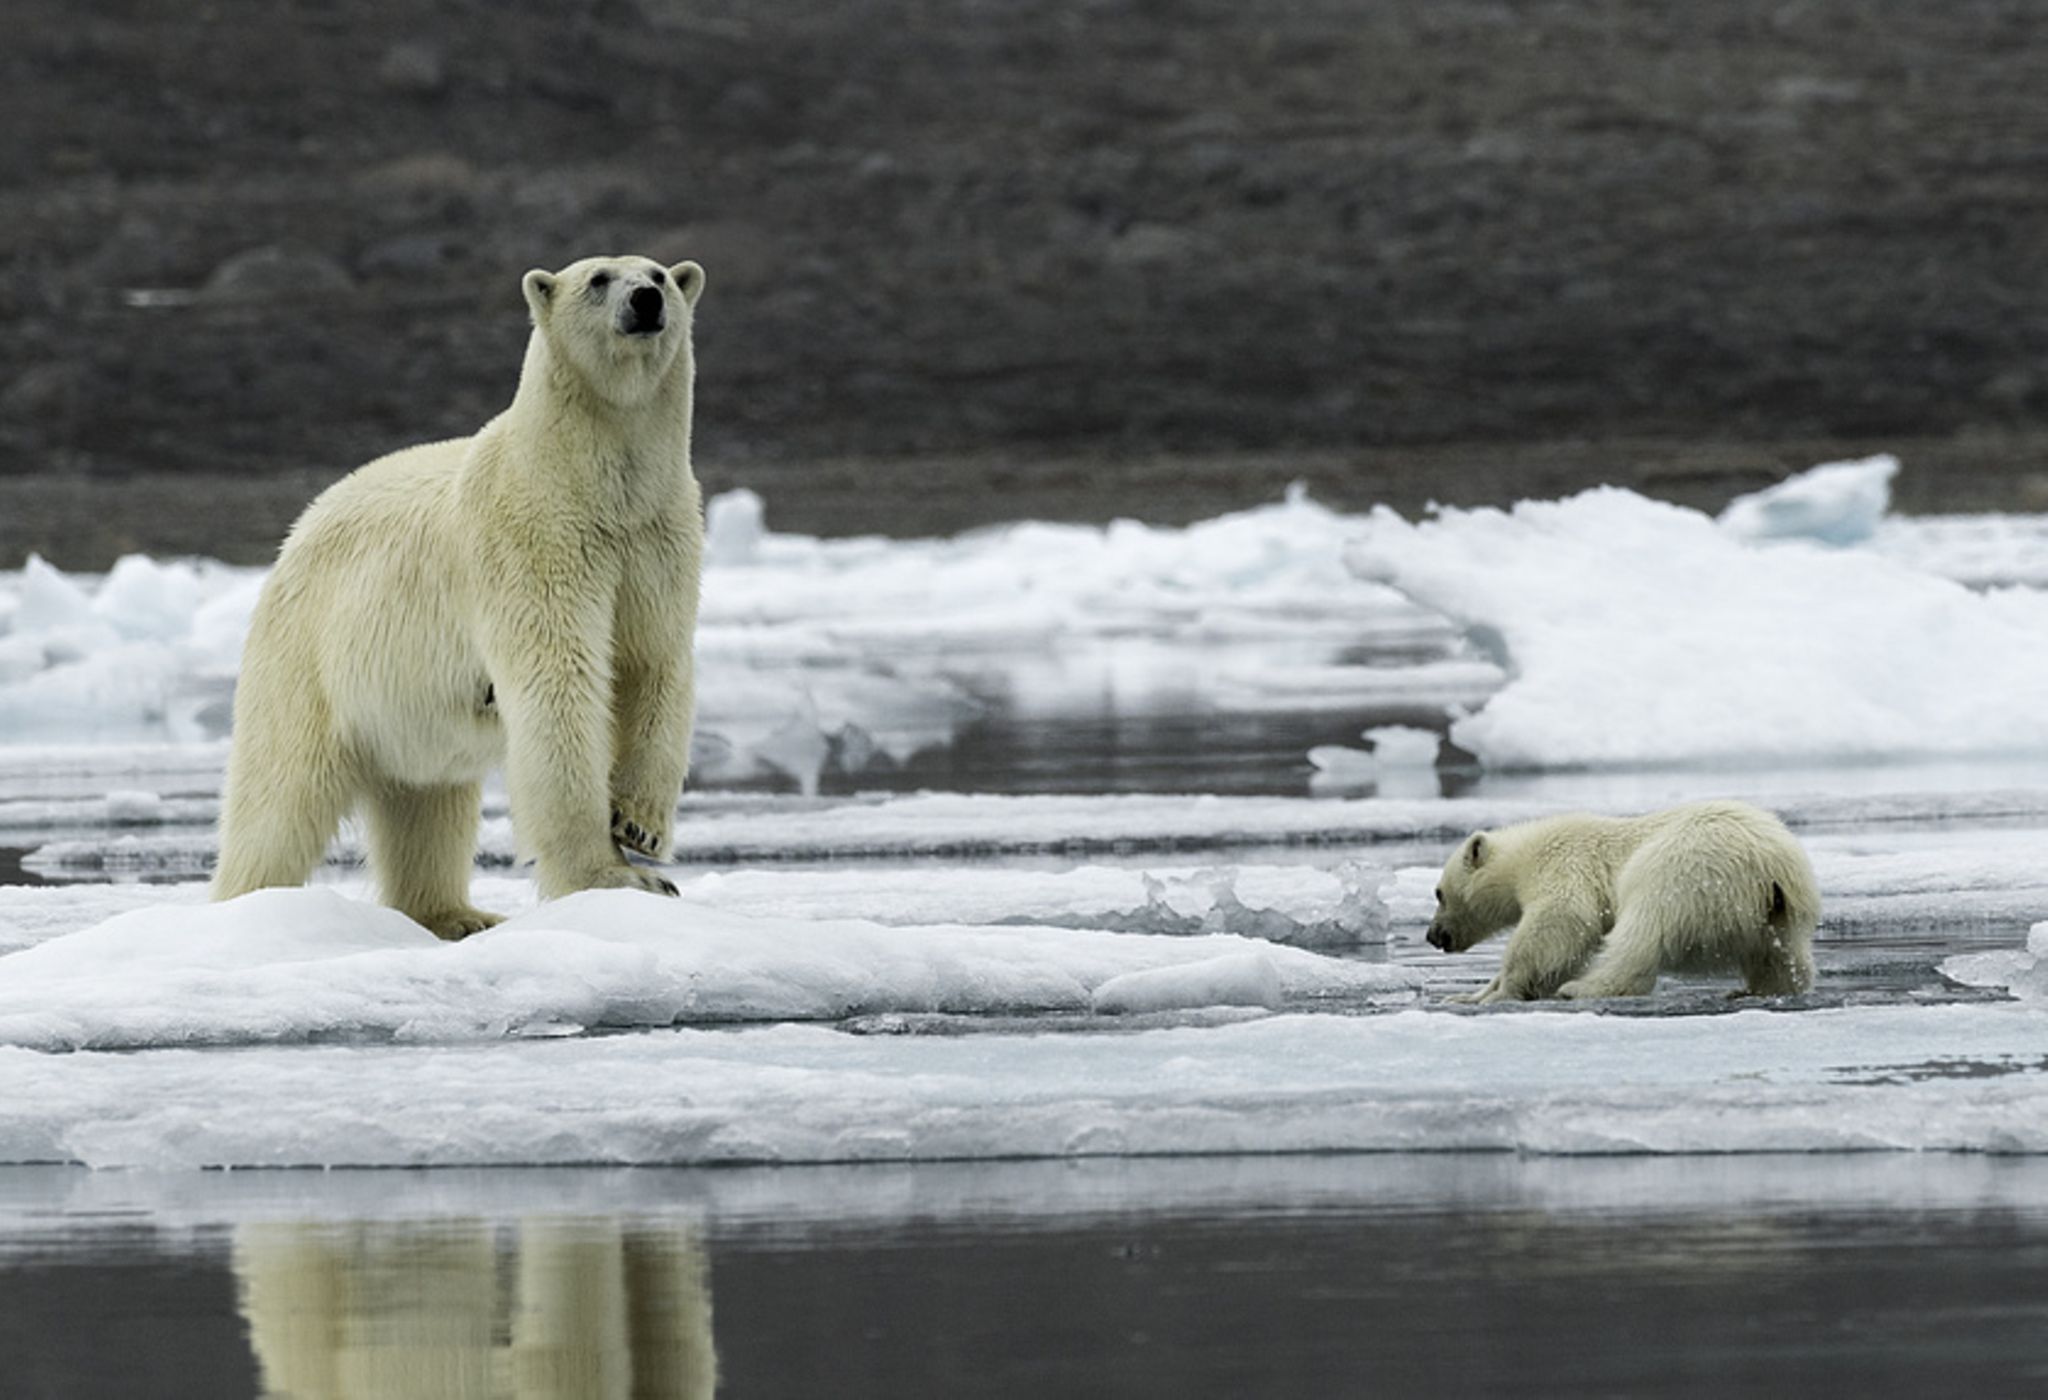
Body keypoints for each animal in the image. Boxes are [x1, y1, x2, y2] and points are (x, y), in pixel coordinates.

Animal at [207, 257, 704, 945]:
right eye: (599, 278)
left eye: (657, 272)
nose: (646, 300)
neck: (592, 485)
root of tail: (299, 530)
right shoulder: (533, 540)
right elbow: (560, 685)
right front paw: (616, 878)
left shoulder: (656, 541)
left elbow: (653, 664)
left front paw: (640, 827)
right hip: (311, 653)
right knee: (280, 795)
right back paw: (246, 909)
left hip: (405, 711)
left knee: (429, 802)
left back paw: (460, 914)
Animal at [1425, 798, 1826, 1007]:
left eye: (1438, 893)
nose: (1433, 935)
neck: (1524, 858)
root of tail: (1772, 866)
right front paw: (1466, 996)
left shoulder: (1564, 866)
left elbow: (1559, 921)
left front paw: (1499, 992)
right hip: (1779, 914)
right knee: (1781, 956)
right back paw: (1756, 989)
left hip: (1687, 869)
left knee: (1642, 930)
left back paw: (1583, 988)